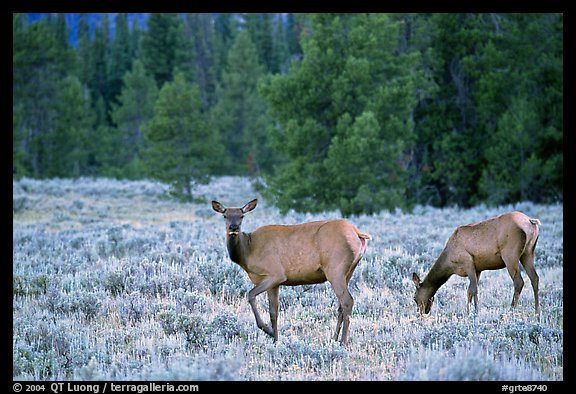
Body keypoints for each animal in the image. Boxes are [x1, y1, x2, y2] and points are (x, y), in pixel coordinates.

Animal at [213, 199, 374, 344]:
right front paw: (276, 340)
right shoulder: (273, 283)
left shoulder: (276, 274)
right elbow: (274, 312)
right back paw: (334, 339)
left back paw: (343, 342)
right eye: (225, 215)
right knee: (341, 305)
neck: (248, 252)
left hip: (335, 269)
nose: (233, 227)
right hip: (349, 271)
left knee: (347, 301)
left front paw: (268, 331)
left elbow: (250, 294)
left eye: (242, 216)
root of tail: (358, 233)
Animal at [410, 211, 540, 316]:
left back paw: (511, 310)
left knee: (519, 281)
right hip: (528, 253)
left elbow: (473, 289)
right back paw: (537, 312)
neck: (449, 263)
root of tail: (531, 221)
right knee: (535, 278)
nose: (421, 313)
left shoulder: (468, 263)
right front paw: (469, 311)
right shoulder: (478, 269)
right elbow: (470, 291)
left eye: (414, 297)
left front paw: (474, 312)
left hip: (510, 255)